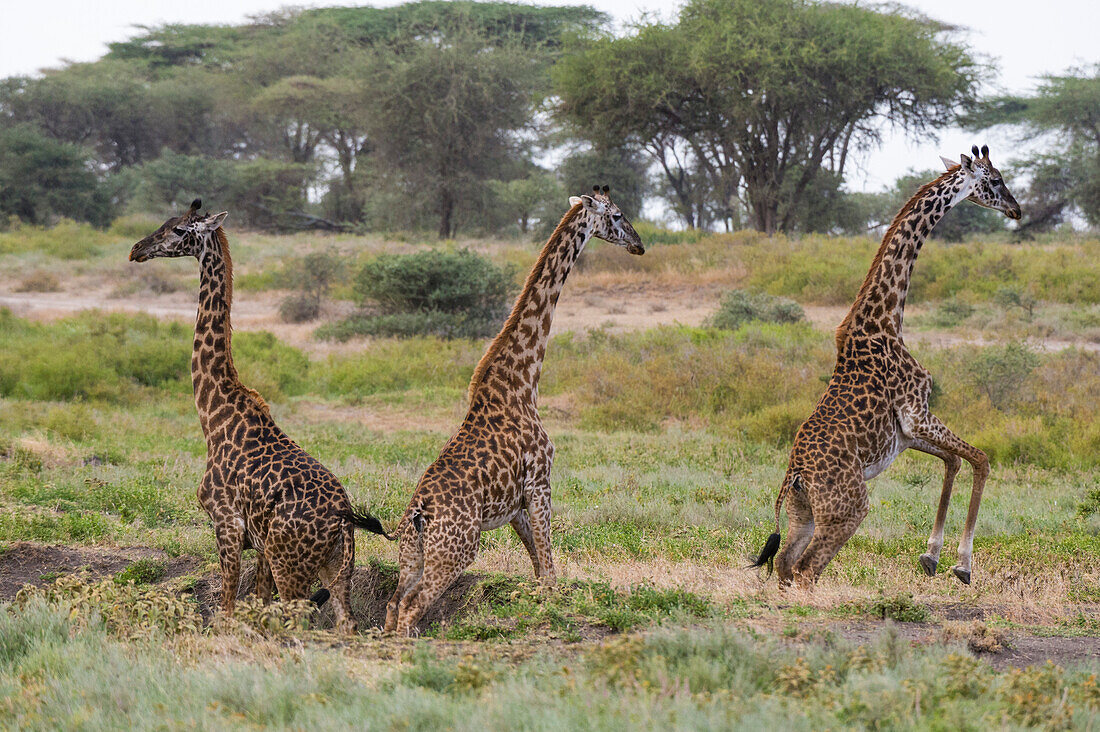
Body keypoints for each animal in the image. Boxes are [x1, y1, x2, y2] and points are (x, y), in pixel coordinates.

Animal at [128, 201, 389, 634]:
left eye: (179, 230)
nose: (137, 249)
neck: (214, 417)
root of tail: (343, 519)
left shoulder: (226, 526)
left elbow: (228, 608)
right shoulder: (261, 546)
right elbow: (259, 607)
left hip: (293, 567)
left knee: (300, 621)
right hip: (337, 569)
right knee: (345, 625)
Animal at [349, 183, 642, 634]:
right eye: (616, 215)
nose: (639, 245)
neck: (523, 383)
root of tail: (415, 515)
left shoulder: (516, 505)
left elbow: (539, 569)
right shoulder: (540, 483)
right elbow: (550, 573)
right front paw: (551, 617)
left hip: (411, 558)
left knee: (394, 605)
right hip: (458, 550)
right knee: (413, 606)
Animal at [748, 147, 1020, 590]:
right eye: (994, 180)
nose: (1016, 209)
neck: (887, 320)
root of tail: (796, 477)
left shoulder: (907, 434)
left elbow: (955, 461)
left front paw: (931, 556)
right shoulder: (918, 414)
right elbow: (980, 459)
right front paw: (961, 565)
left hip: (803, 514)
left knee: (787, 565)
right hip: (849, 510)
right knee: (806, 570)